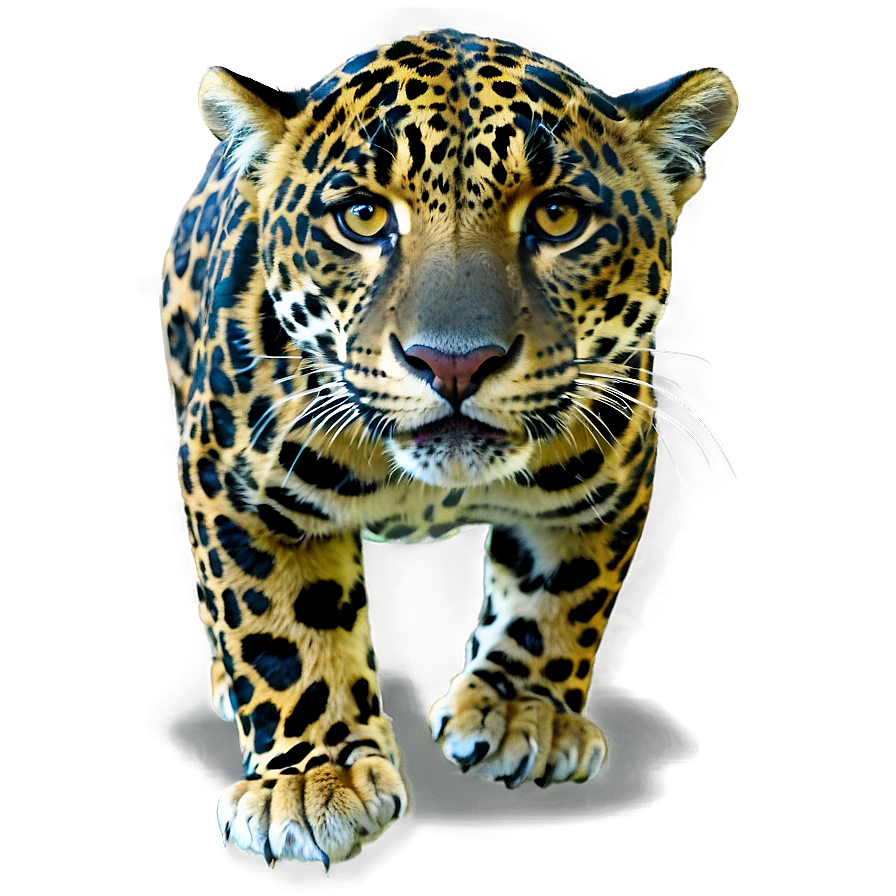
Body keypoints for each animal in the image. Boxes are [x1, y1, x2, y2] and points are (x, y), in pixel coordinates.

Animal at [160, 28, 736, 869]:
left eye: (557, 216)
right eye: (363, 216)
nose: (454, 362)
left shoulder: (612, 475)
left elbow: (561, 594)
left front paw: (525, 712)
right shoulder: (236, 487)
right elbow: (281, 629)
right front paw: (312, 780)